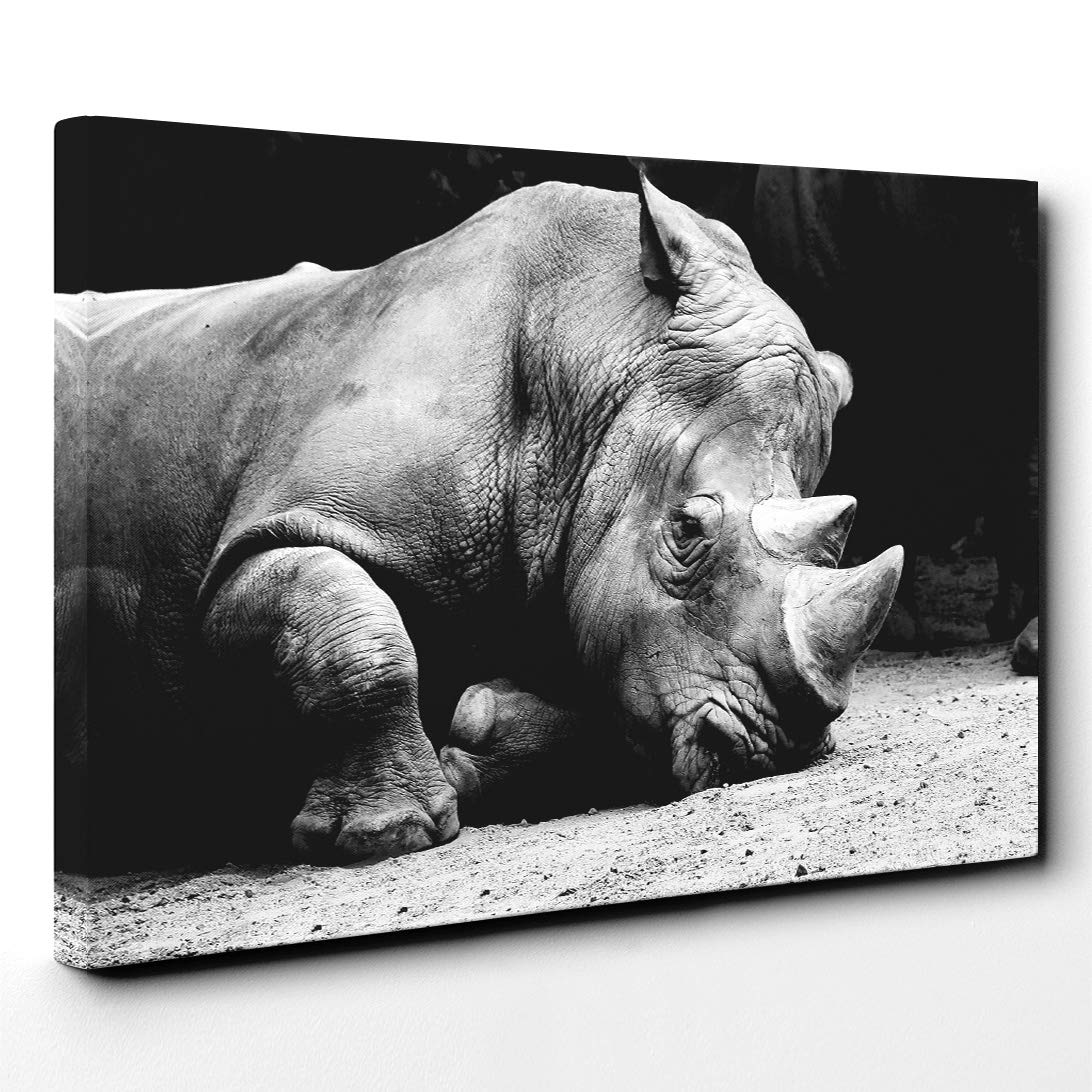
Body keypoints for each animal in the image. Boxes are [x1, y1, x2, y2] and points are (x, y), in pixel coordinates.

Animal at [54, 174, 902, 871]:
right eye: (687, 531)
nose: (767, 747)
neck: (591, 368)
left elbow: (604, 690)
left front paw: (473, 738)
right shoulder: (274, 535)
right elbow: (347, 626)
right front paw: (388, 836)